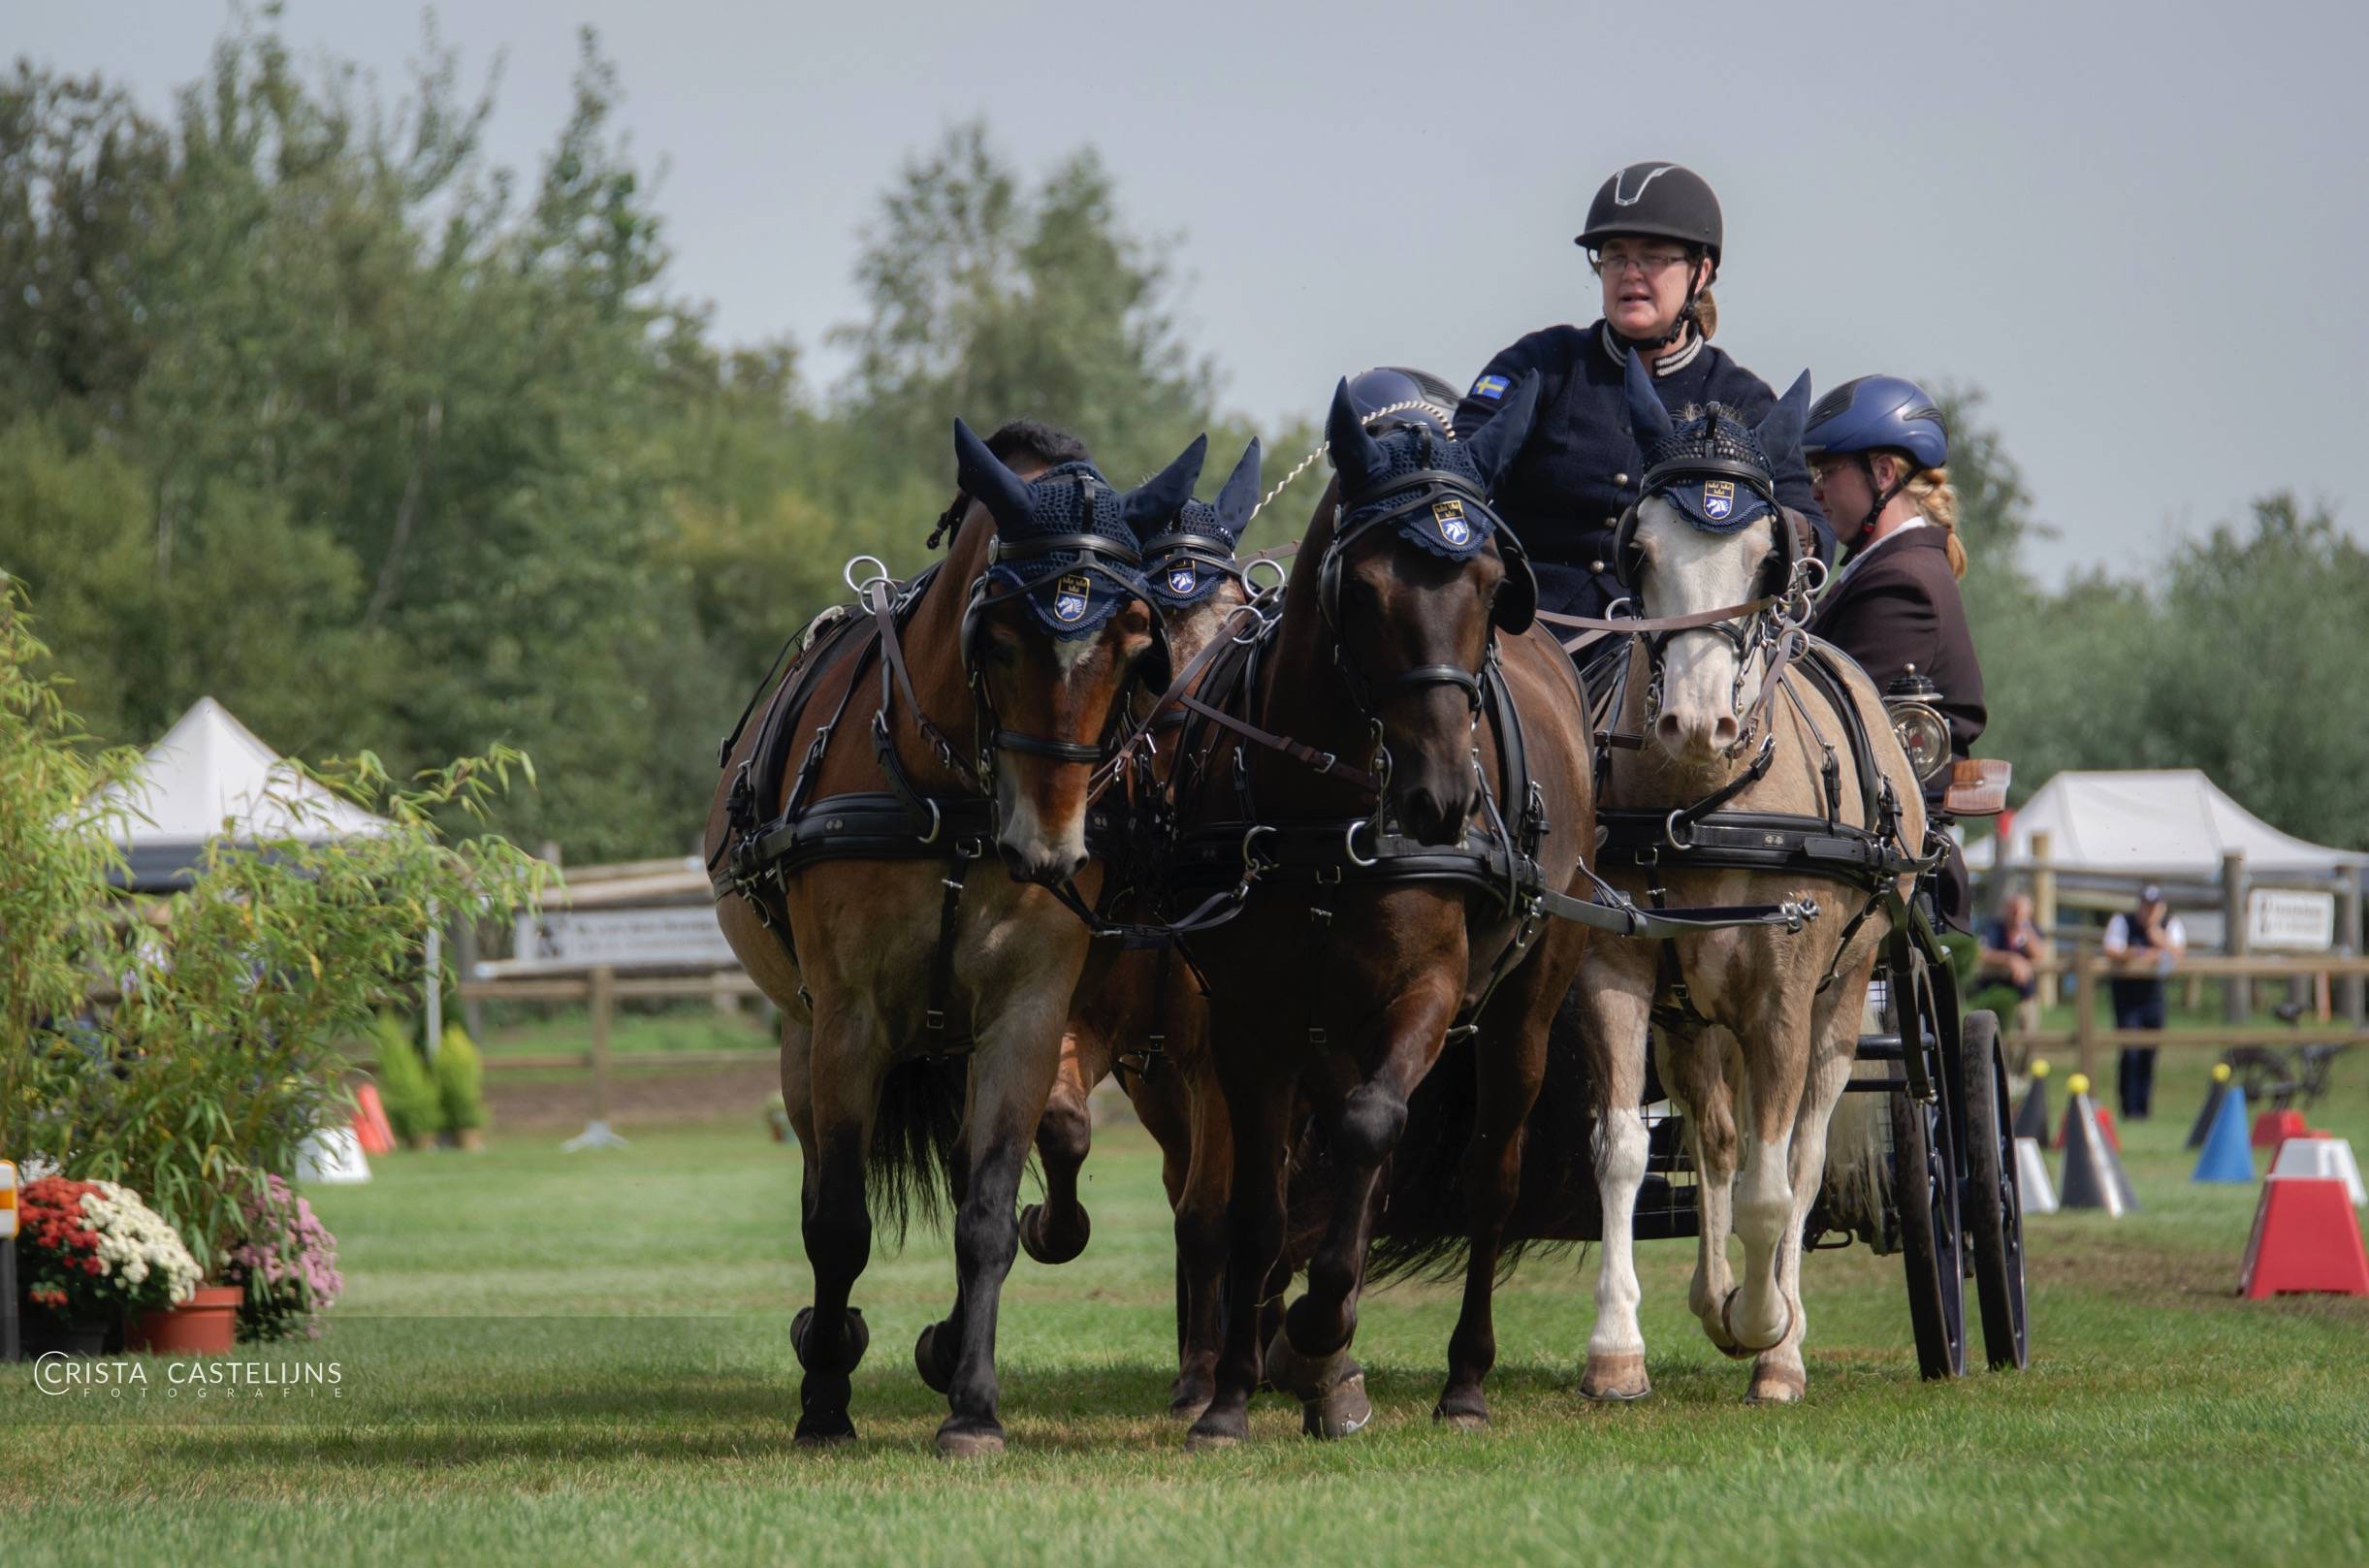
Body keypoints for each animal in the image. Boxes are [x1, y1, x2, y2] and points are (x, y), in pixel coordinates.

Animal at [705, 418, 1203, 1455]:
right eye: (1000, 638)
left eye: (1133, 644)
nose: (1048, 847)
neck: (954, 796)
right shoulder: (849, 1020)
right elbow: (839, 1223)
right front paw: (825, 1400)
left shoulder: (1023, 1017)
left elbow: (986, 1214)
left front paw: (972, 1402)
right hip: (801, 1035)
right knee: (816, 1187)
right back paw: (828, 1336)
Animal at [1163, 375, 1602, 1447]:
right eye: (1360, 590)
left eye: (1489, 582)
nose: (1439, 800)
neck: (1325, 813)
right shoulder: (1252, 1020)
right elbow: (1261, 1203)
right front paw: (1232, 1395)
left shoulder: (1428, 992)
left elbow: (1369, 1129)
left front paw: (1320, 1326)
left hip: (1527, 1002)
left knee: (1486, 1176)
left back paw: (1461, 1378)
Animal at [1570, 351, 1924, 1406]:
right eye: (1637, 547)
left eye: (1772, 555)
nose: (1697, 723)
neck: (1701, 802)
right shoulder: (1614, 970)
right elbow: (1624, 1151)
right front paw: (1617, 1347)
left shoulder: (1783, 993)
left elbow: (1779, 1188)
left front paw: (1769, 1331)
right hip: (1690, 1017)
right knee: (1716, 1143)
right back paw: (1713, 1296)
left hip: (1841, 1000)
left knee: (1797, 1159)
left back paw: (1775, 1331)